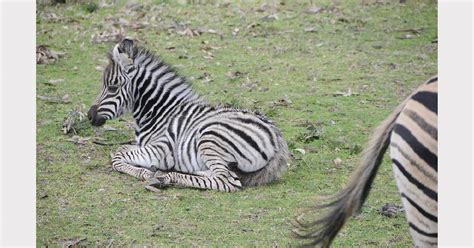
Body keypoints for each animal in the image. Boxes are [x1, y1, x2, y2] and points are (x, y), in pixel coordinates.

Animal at [87, 38, 290, 193]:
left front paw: (145, 172)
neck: (161, 112)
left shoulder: (162, 150)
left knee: (226, 181)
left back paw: (164, 177)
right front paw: (146, 169)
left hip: (210, 137)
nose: (89, 116)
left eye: (113, 87)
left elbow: (117, 155)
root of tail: (277, 137)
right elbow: (120, 151)